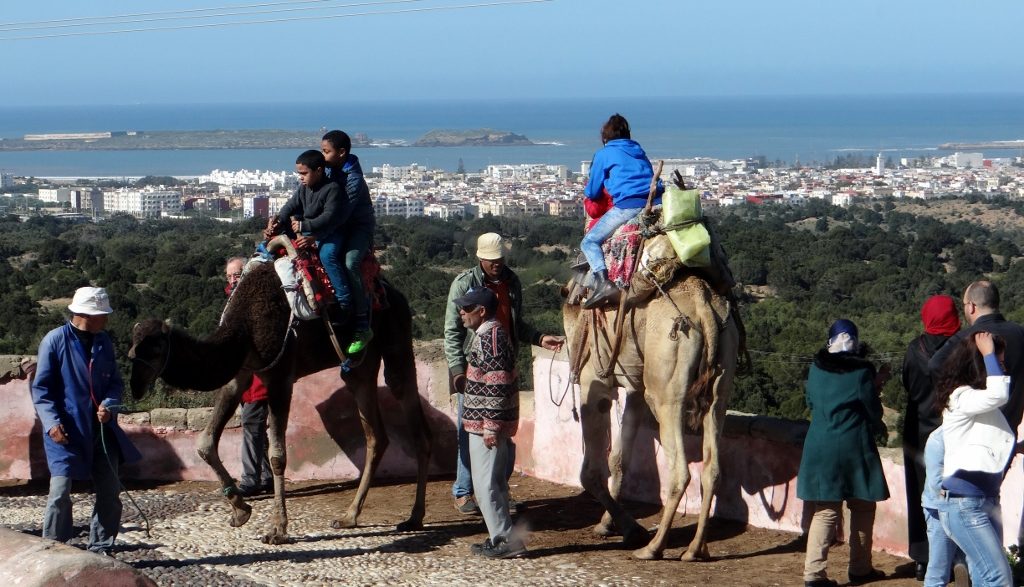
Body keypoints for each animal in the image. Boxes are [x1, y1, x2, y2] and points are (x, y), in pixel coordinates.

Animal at [128, 260, 431, 545]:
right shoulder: (241, 374)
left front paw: (277, 529)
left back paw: (413, 517)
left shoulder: (280, 377)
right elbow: (205, 442)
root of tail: (395, 293)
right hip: (360, 366)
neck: (245, 328)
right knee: (376, 434)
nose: (135, 386)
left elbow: (276, 455)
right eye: (132, 348)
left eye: (154, 349)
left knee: (414, 420)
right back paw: (349, 516)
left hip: (396, 337)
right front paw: (240, 510)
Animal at [563, 256, 742, 561]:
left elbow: (590, 471)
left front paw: (632, 530)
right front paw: (607, 524)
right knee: (713, 468)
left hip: (667, 378)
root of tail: (704, 306)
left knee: (680, 469)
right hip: (721, 379)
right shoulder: (635, 387)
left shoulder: (594, 380)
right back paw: (696, 549)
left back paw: (653, 547)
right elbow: (619, 459)